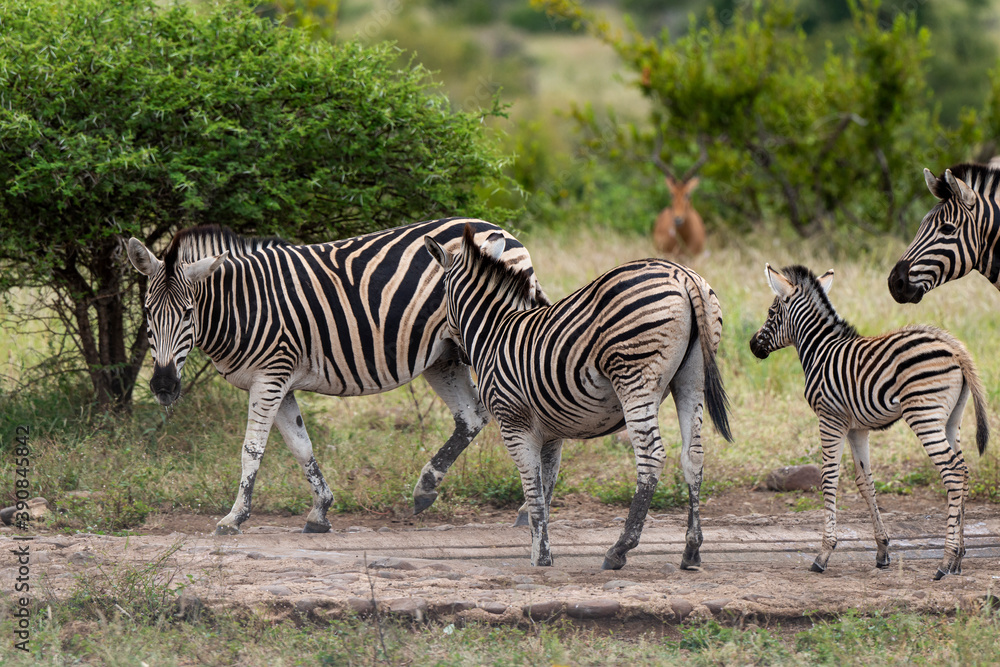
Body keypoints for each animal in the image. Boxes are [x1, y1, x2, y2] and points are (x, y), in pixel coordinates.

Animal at [126, 218, 550, 535]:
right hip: (443, 357)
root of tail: (503, 232)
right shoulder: (279, 380)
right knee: (473, 416)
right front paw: (320, 511)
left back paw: (528, 509)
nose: (163, 386)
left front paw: (234, 518)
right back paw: (428, 489)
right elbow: (301, 446)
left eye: (187, 313)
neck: (241, 303)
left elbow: (252, 449)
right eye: (146, 312)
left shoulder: (269, 377)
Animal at [424, 224, 733, 569]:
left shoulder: (513, 423)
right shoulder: (550, 435)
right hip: (692, 379)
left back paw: (619, 549)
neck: (495, 331)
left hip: (634, 377)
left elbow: (532, 487)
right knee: (694, 456)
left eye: (441, 294)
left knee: (651, 456)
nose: (455, 354)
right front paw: (539, 545)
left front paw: (541, 556)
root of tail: (682, 273)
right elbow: (545, 489)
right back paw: (691, 551)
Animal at [749, 264, 989, 579]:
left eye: (770, 312)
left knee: (952, 472)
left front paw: (823, 554)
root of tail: (954, 347)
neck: (820, 350)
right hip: (951, 419)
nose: (752, 346)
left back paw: (945, 561)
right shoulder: (857, 429)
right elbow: (866, 482)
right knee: (963, 471)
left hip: (924, 416)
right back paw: (958, 558)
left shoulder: (830, 419)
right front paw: (882, 551)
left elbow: (829, 478)